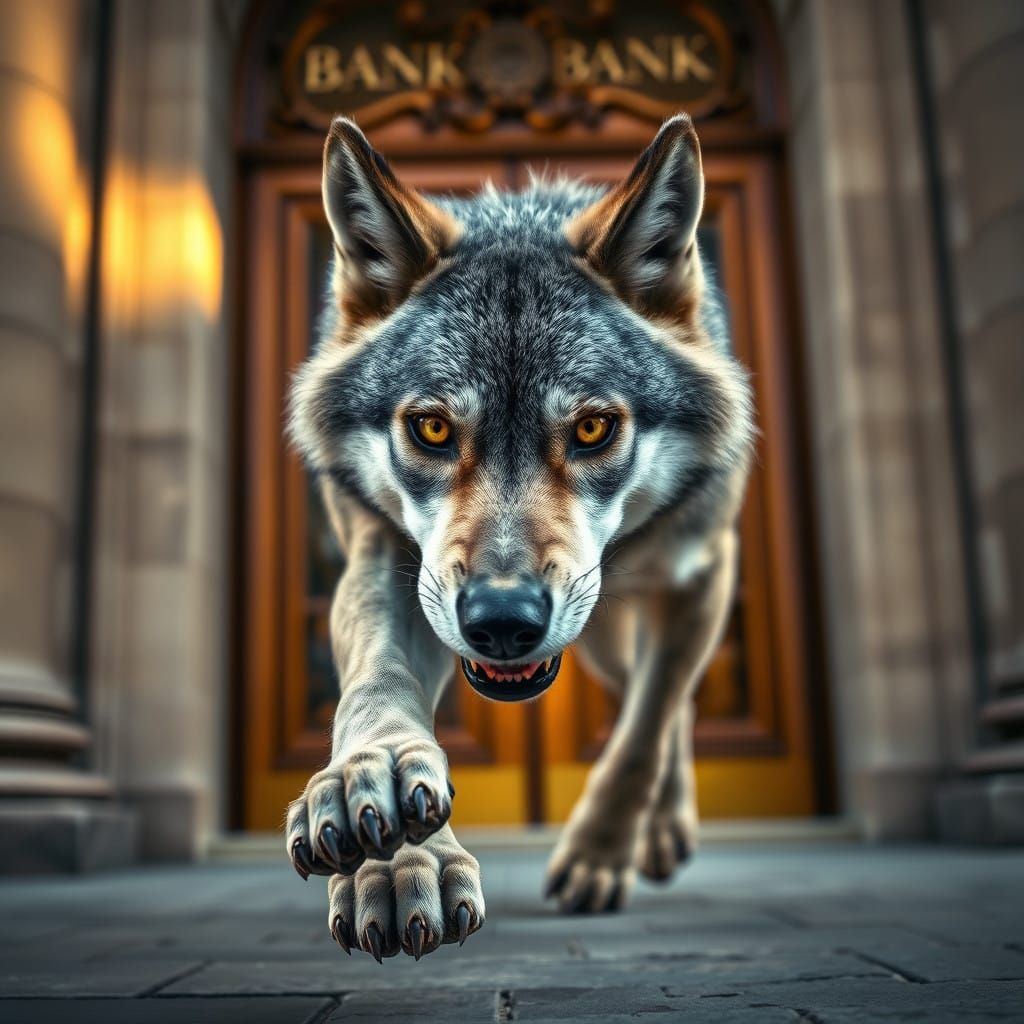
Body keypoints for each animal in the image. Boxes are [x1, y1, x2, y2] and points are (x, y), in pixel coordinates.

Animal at [285, 112, 753, 962]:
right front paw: (389, 830)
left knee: (666, 701)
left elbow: (643, 733)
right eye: (433, 428)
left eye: (593, 428)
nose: (502, 622)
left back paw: (660, 830)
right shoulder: (387, 561)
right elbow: (376, 680)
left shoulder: (701, 572)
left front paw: (599, 855)